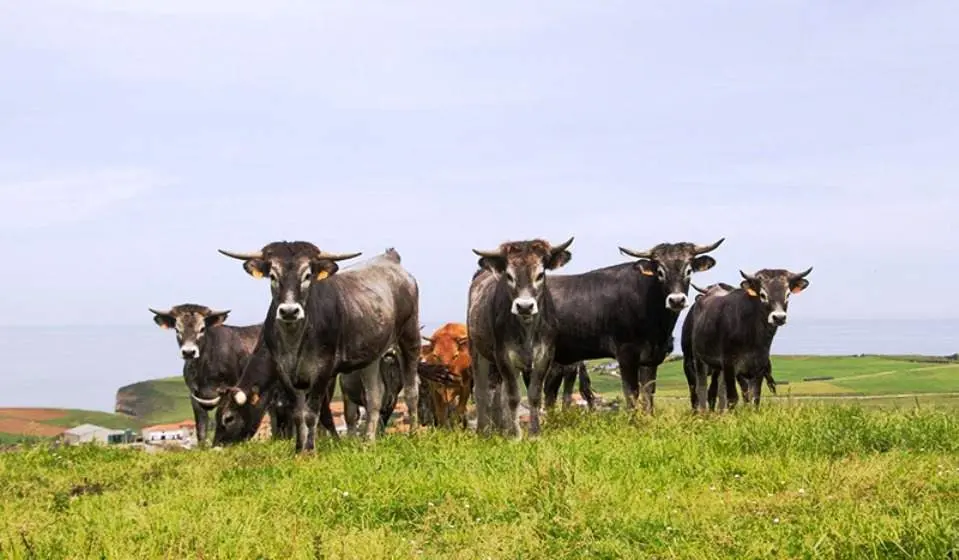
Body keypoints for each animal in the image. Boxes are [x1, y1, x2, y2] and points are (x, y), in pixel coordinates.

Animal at [219, 243, 422, 452]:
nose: (289, 311)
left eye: (228, 418)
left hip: (409, 336)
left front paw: (318, 446)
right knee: (374, 396)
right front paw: (300, 449)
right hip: (371, 357)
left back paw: (413, 434)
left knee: (411, 390)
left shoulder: (325, 370)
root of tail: (390, 259)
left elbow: (316, 412)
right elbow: (298, 413)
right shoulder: (285, 372)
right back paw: (368, 442)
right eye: (273, 276)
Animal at [466, 235, 572, 438]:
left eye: (540, 275)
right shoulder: (503, 355)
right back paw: (484, 431)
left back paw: (503, 428)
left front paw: (534, 434)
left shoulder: (545, 356)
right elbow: (513, 396)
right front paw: (516, 435)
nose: (524, 306)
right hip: (476, 350)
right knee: (482, 392)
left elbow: (534, 395)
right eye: (509, 276)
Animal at [544, 238, 724, 414]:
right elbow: (631, 393)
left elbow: (648, 393)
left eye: (689, 271)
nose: (676, 300)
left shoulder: (650, 359)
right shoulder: (626, 353)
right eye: (660, 272)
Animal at [688, 266, 812, 412]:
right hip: (699, 359)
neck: (753, 335)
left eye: (788, 294)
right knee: (701, 387)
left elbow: (755, 398)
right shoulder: (730, 364)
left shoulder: (759, 367)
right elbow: (733, 398)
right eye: (763, 295)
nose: (779, 317)